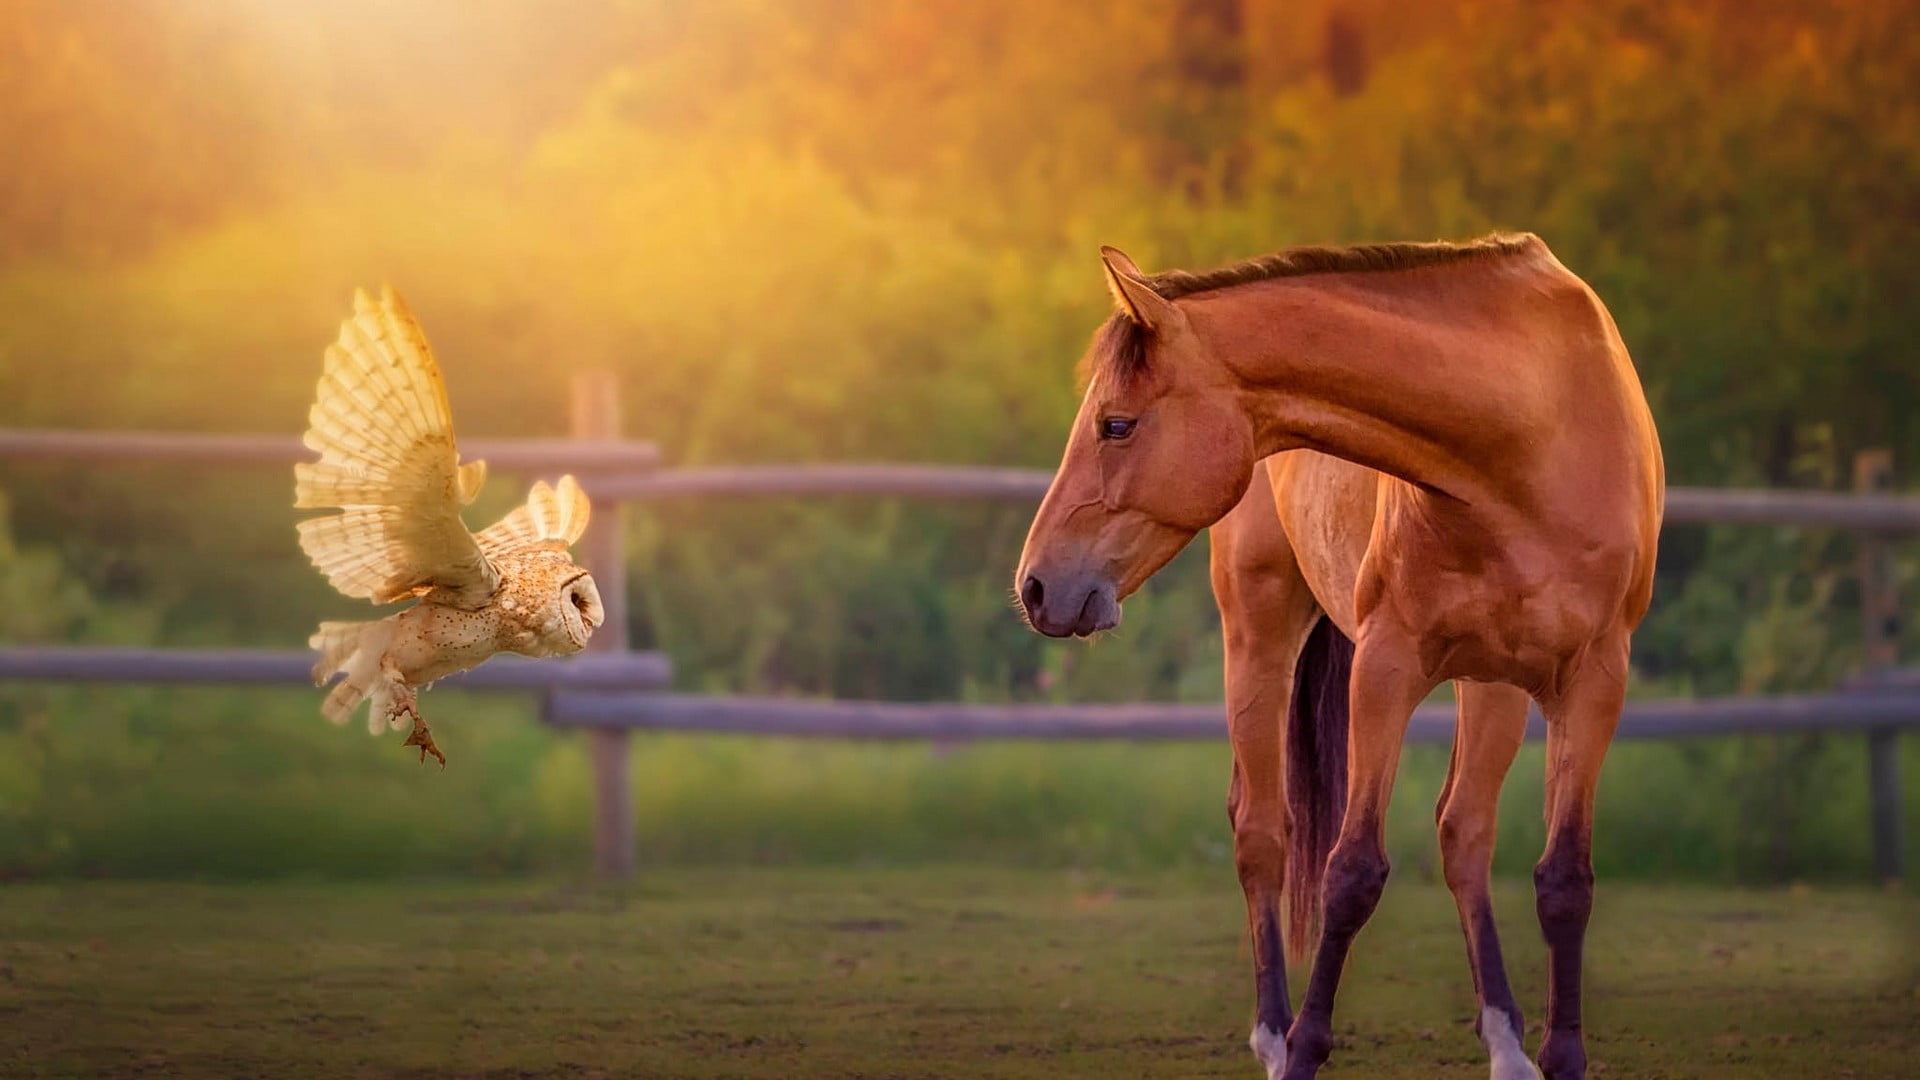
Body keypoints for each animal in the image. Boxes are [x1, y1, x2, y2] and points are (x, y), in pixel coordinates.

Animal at [1014, 234, 1663, 1080]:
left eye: (1116, 425)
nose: (1034, 586)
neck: (1531, 438)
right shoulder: (1386, 667)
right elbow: (1351, 873)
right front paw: (1304, 1049)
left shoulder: (1594, 682)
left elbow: (1565, 881)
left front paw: (1564, 1056)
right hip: (1259, 636)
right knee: (1262, 831)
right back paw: (1273, 1032)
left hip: (1493, 682)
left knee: (1464, 832)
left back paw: (1505, 1042)